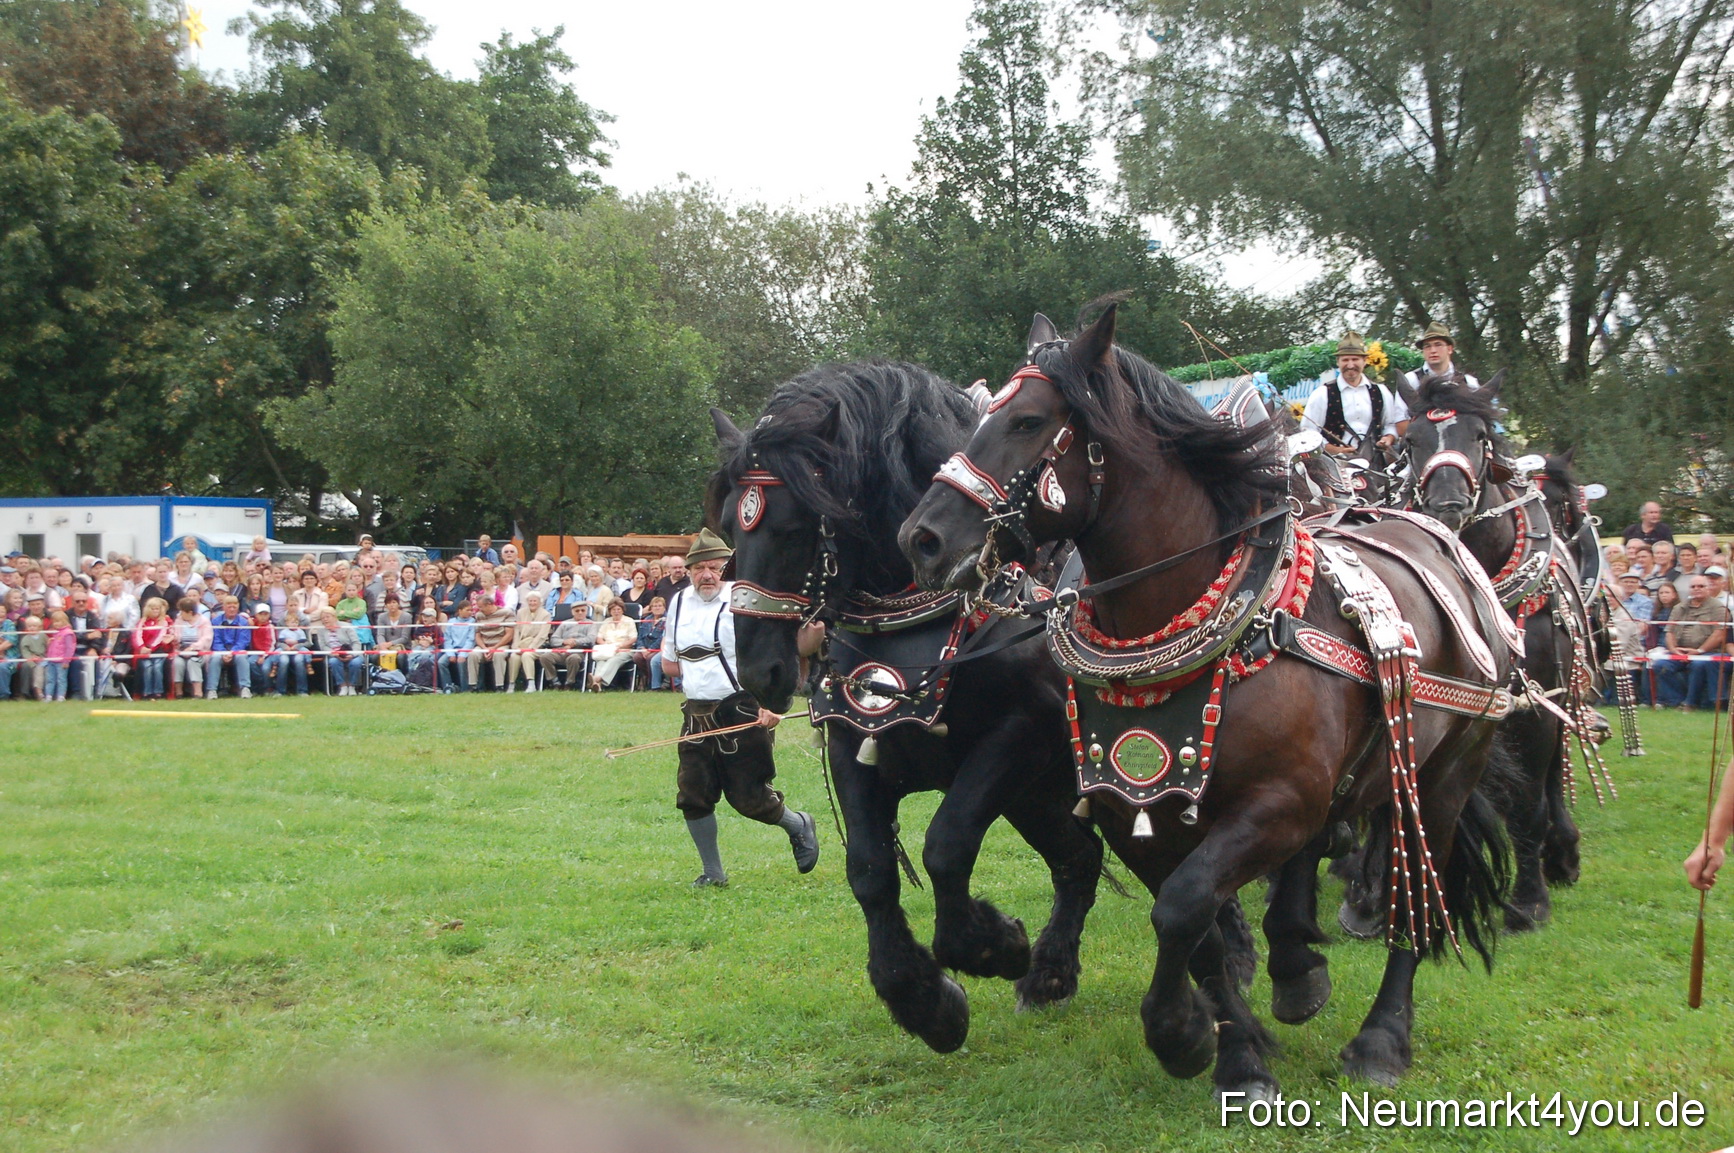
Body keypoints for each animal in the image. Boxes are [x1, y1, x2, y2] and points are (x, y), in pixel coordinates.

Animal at [706, 361, 1122, 1055]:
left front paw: (993, 946)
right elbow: (871, 870)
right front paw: (925, 1000)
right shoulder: (855, 743)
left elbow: (945, 847)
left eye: (796, 527)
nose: (763, 671)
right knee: (1079, 860)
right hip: (1037, 797)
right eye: (733, 530)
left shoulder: (1018, 740)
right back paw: (1050, 976)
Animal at [899, 305, 1515, 1094]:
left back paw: (1381, 1036)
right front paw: (1231, 1044)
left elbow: (1185, 906)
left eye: (1029, 420)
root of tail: (1445, 543)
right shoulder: (1134, 808)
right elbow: (1195, 929)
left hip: (1444, 774)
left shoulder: (1278, 802)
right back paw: (1295, 968)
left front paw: (1182, 1034)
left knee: (1415, 903)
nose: (922, 537)